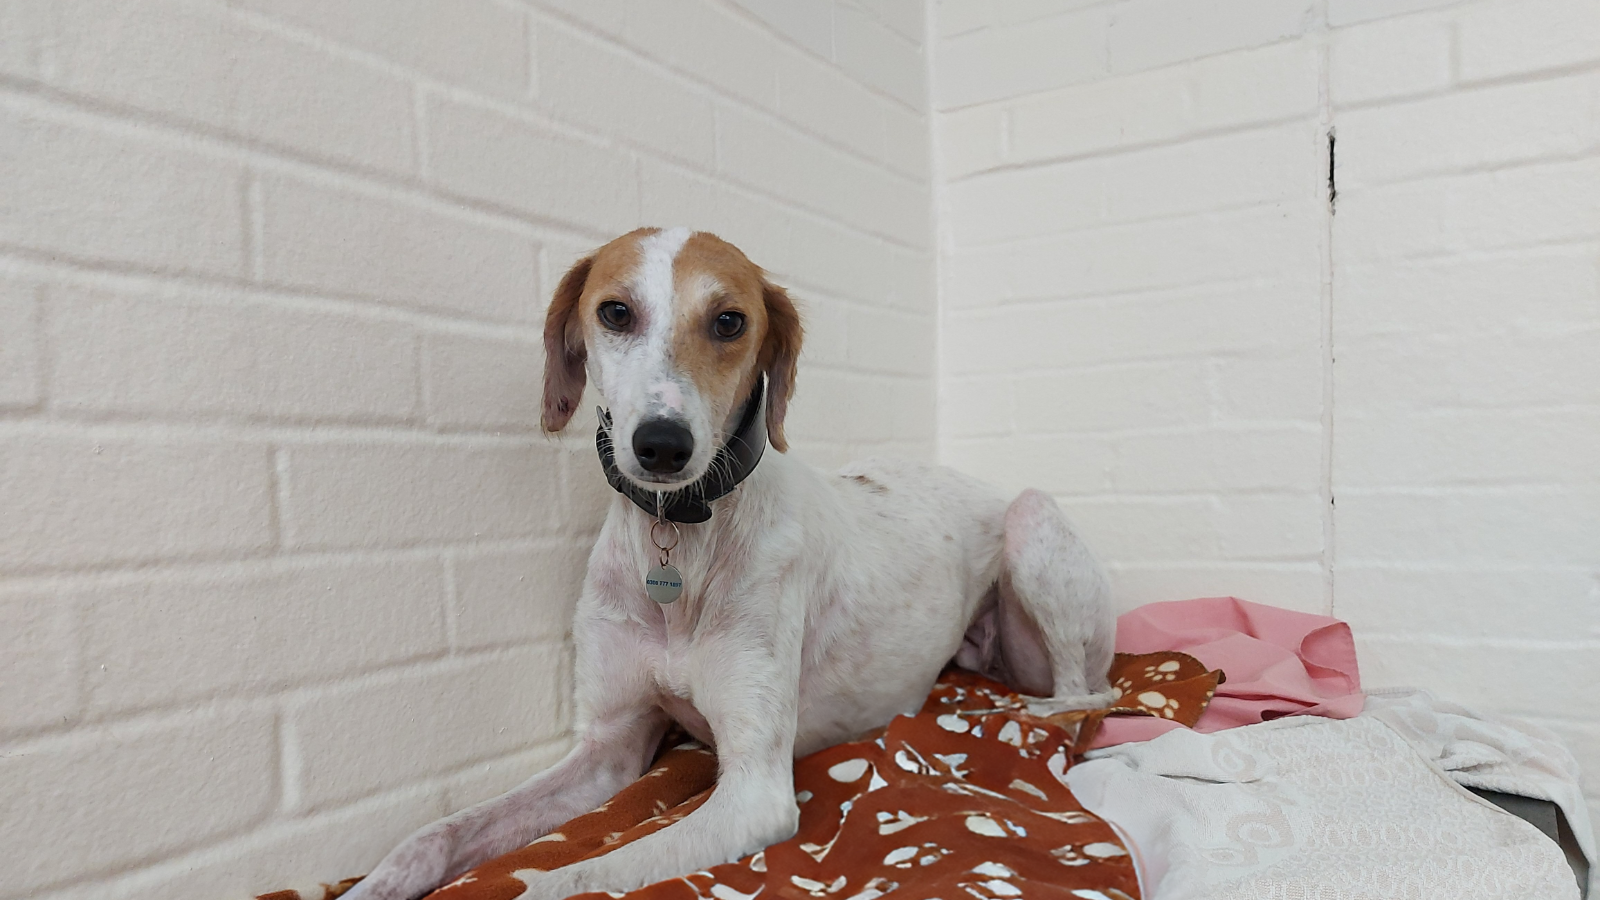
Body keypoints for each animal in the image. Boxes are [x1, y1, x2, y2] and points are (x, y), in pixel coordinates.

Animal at [344, 225, 1113, 896]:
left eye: (730, 321)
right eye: (615, 311)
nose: (662, 444)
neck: (680, 546)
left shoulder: (753, 789)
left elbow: (570, 878)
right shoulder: (607, 750)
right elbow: (438, 832)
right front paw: (376, 885)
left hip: (1032, 528)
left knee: (1085, 699)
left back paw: (1007, 719)